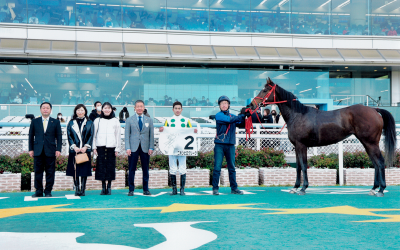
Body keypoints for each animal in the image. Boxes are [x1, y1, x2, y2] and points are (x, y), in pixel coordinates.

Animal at [247, 77, 396, 196]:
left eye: (265, 90)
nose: (251, 105)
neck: (298, 115)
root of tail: (374, 110)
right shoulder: (296, 147)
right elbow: (298, 167)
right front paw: (295, 187)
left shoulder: (301, 145)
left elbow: (303, 165)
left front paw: (303, 188)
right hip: (367, 144)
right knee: (375, 163)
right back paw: (373, 188)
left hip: (370, 143)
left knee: (380, 162)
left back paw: (381, 190)